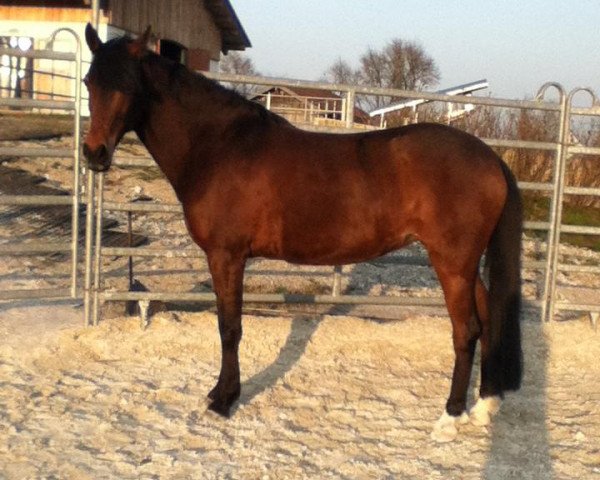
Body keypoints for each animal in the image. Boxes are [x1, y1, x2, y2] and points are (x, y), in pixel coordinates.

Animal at [82, 24, 524, 440]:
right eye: (90, 82)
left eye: (127, 85)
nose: (93, 154)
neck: (218, 147)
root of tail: (490, 158)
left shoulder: (226, 256)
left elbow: (229, 328)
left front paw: (224, 400)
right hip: (465, 265)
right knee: (487, 318)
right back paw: (484, 405)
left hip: (452, 263)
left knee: (466, 330)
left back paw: (450, 417)